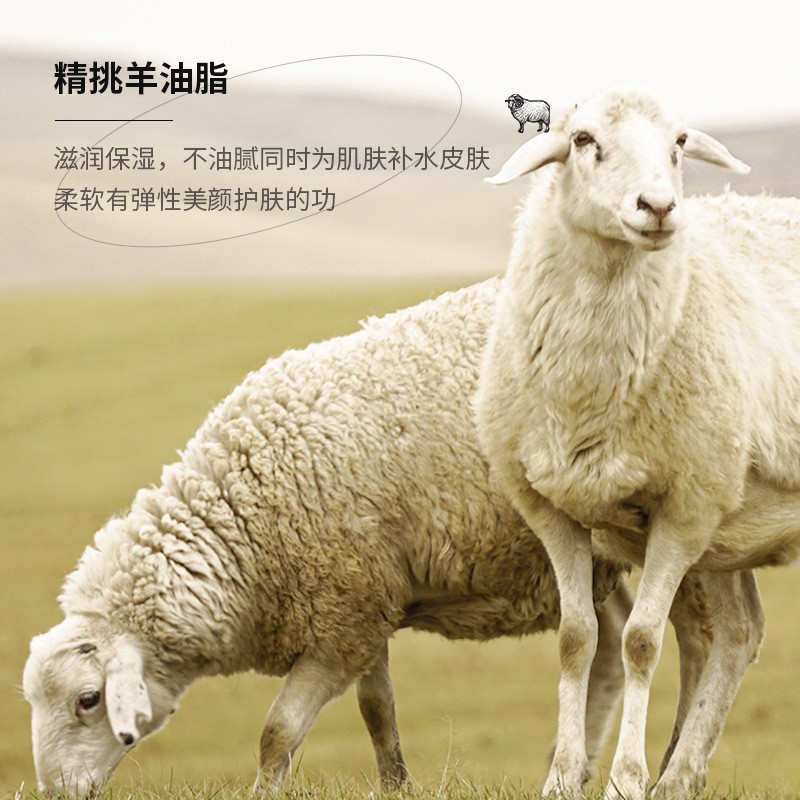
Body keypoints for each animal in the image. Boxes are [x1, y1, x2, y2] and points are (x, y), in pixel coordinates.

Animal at [23, 279, 636, 797]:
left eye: (88, 700)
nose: (55, 792)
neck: (242, 514)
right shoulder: (365, 604)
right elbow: (377, 711)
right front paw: (396, 786)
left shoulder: (344, 621)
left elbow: (278, 730)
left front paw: (264, 793)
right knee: (613, 644)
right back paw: (582, 769)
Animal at [475, 84, 800, 800]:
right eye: (582, 140)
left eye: (679, 143)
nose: (657, 207)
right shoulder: (552, 508)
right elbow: (576, 639)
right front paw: (563, 778)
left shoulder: (684, 509)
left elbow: (641, 642)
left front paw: (624, 778)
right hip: (725, 524)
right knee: (739, 632)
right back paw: (679, 777)